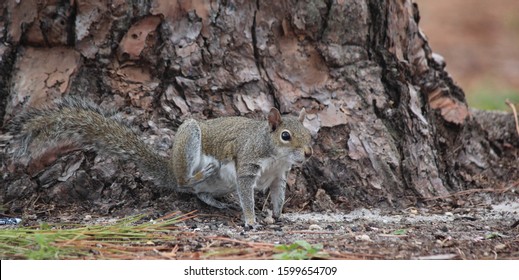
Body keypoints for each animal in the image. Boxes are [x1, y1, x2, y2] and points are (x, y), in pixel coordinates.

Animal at [11, 96, 312, 228]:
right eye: (285, 135)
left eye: (310, 133)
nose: (309, 153)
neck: (275, 156)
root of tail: (169, 167)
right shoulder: (248, 166)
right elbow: (248, 194)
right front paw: (250, 219)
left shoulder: (279, 176)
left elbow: (278, 195)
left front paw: (277, 214)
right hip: (190, 141)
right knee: (184, 182)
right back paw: (198, 176)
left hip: (221, 184)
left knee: (199, 193)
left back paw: (219, 202)